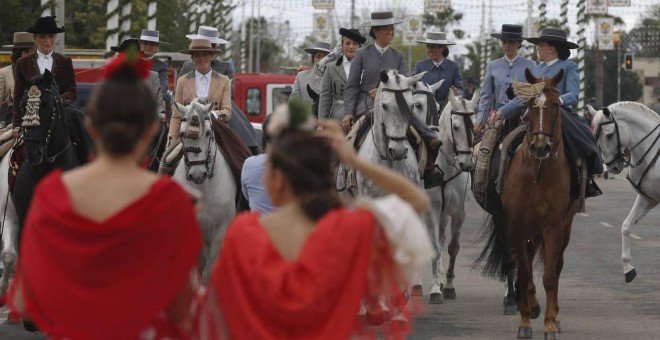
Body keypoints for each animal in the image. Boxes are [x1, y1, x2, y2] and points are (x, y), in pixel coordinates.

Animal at [173, 99, 237, 282]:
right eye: (182, 134)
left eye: (208, 133)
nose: (197, 174)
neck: (203, 190)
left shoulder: (220, 231)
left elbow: (209, 271)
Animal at [412, 81, 480, 304]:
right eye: (456, 126)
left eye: (475, 124)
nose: (466, 164)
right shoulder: (432, 209)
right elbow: (433, 248)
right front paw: (435, 290)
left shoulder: (459, 211)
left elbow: (452, 247)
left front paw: (448, 285)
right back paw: (417, 284)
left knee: (442, 239)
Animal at [476, 67, 576, 338]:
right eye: (529, 105)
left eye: (556, 105)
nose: (541, 147)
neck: (538, 173)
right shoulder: (514, 224)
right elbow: (521, 270)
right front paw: (524, 318)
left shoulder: (553, 227)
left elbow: (550, 276)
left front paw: (550, 323)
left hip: (564, 227)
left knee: (557, 266)